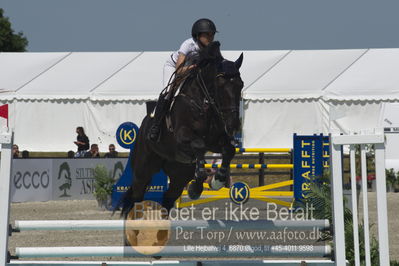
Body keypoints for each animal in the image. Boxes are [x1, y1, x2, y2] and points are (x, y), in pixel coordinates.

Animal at [122, 41, 244, 220]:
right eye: (221, 84)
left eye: (240, 85)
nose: (233, 124)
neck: (203, 102)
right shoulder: (182, 137)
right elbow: (199, 145)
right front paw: (197, 185)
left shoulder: (215, 141)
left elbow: (228, 150)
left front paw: (217, 180)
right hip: (142, 168)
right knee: (136, 196)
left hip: (179, 173)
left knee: (168, 197)